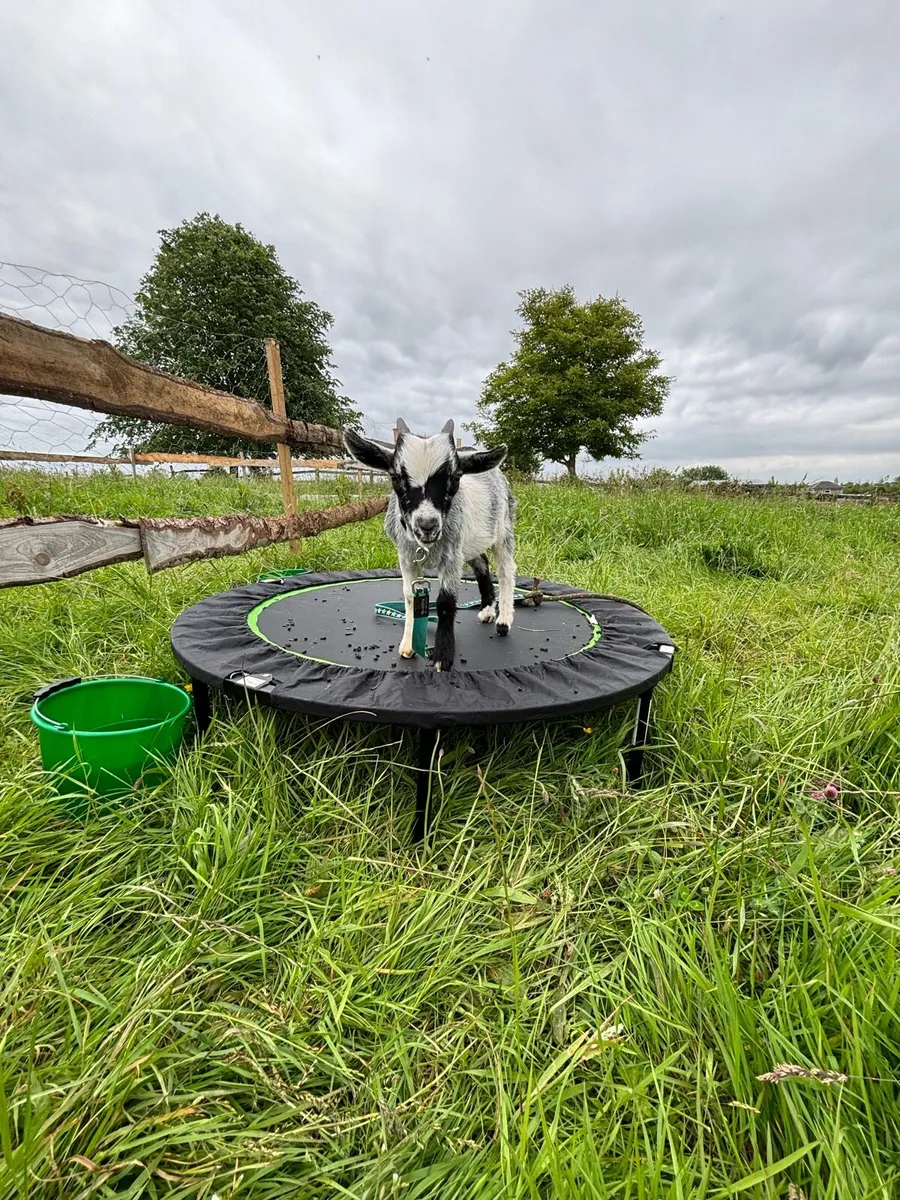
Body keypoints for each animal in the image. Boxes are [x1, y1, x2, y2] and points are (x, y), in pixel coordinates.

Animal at [343, 418, 516, 671]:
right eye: (395, 477)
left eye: (455, 478)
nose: (427, 525)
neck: (426, 546)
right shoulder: (406, 557)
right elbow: (409, 596)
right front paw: (408, 645)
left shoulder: (451, 557)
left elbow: (446, 602)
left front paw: (443, 657)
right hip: (470, 540)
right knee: (482, 563)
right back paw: (486, 609)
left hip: (503, 529)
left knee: (506, 571)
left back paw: (503, 619)